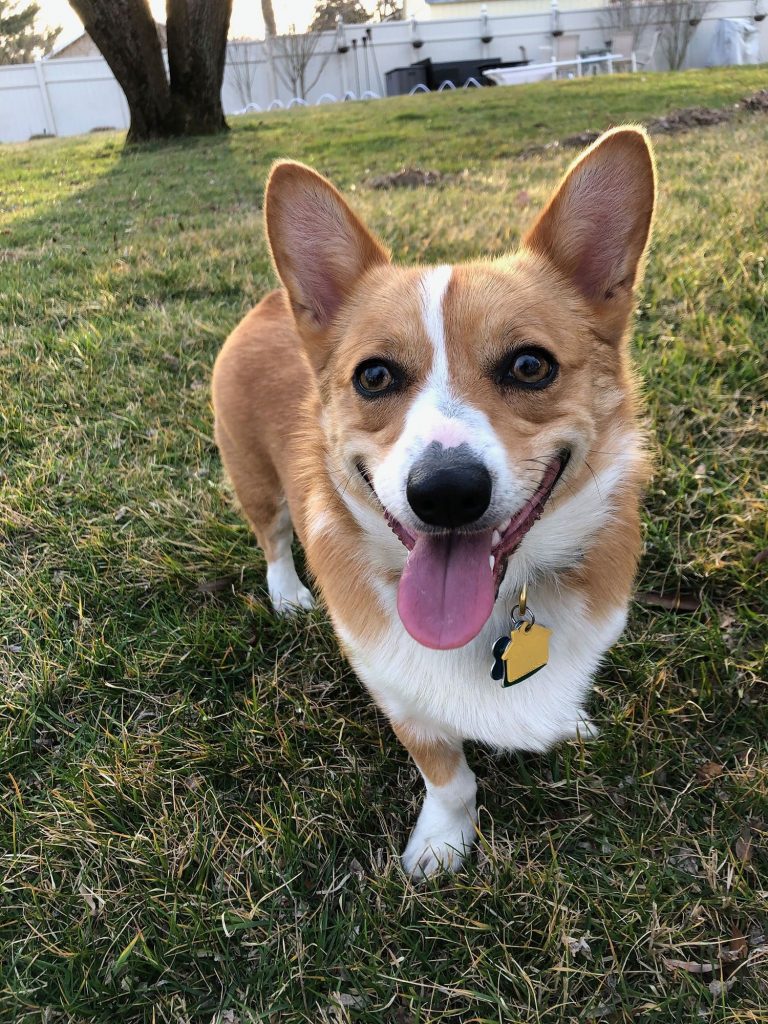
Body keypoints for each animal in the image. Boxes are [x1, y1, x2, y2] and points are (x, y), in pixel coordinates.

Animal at [210, 125, 655, 880]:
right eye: (374, 376)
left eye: (530, 365)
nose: (446, 493)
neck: (499, 609)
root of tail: (275, 301)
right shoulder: (399, 694)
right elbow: (450, 776)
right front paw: (443, 845)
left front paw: (569, 721)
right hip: (252, 477)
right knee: (271, 536)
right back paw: (287, 593)